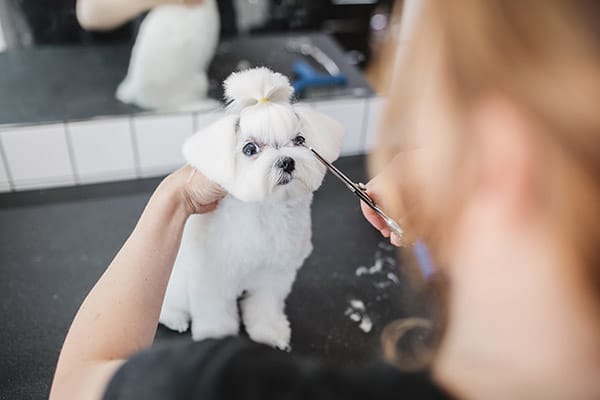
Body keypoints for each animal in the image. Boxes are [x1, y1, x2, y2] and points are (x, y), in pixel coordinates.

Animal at [159, 67, 344, 348]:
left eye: (299, 140)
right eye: (249, 149)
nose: (286, 162)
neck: (267, 211)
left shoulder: (274, 275)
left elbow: (265, 305)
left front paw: (269, 331)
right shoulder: (212, 278)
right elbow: (215, 312)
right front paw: (216, 336)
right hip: (176, 279)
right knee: (169, 303)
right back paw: (174, 318)